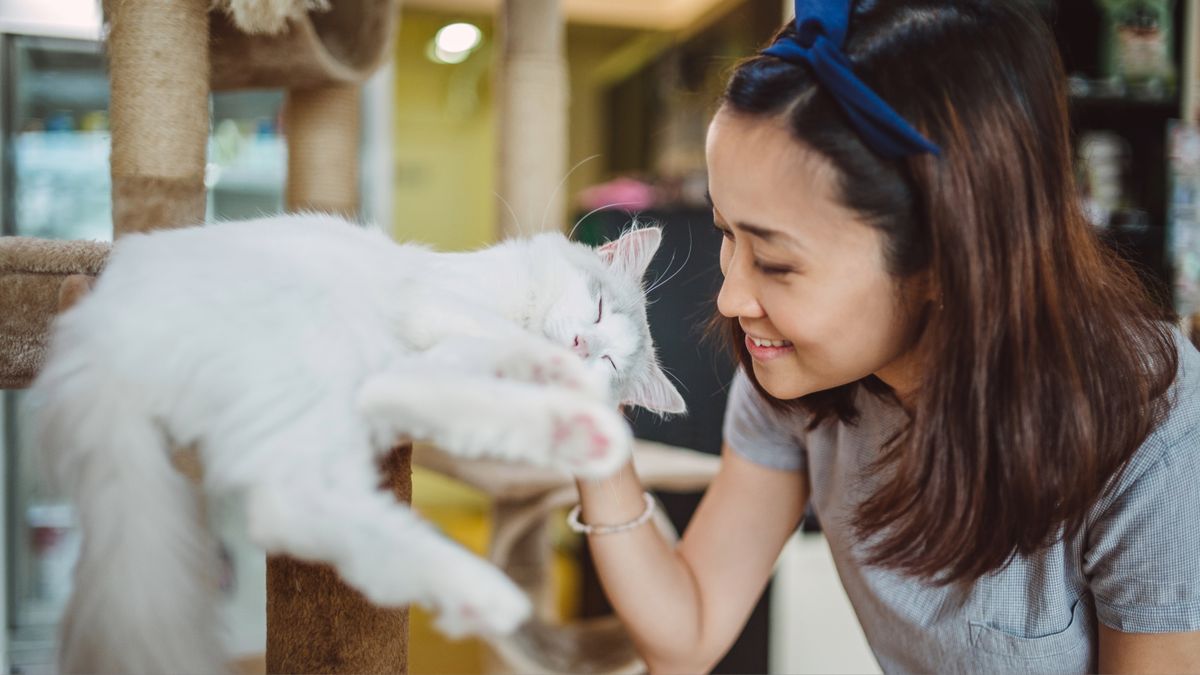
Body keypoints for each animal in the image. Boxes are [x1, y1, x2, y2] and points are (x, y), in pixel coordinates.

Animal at [25, 213, 686, 672]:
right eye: (597, 311)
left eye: (609, 360)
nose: (579, 349)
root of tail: (95, 332)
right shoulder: (437, 301)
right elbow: (491, 341)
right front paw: (551, 373)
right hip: (316, 356)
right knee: (291, 499)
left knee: (308, 495)